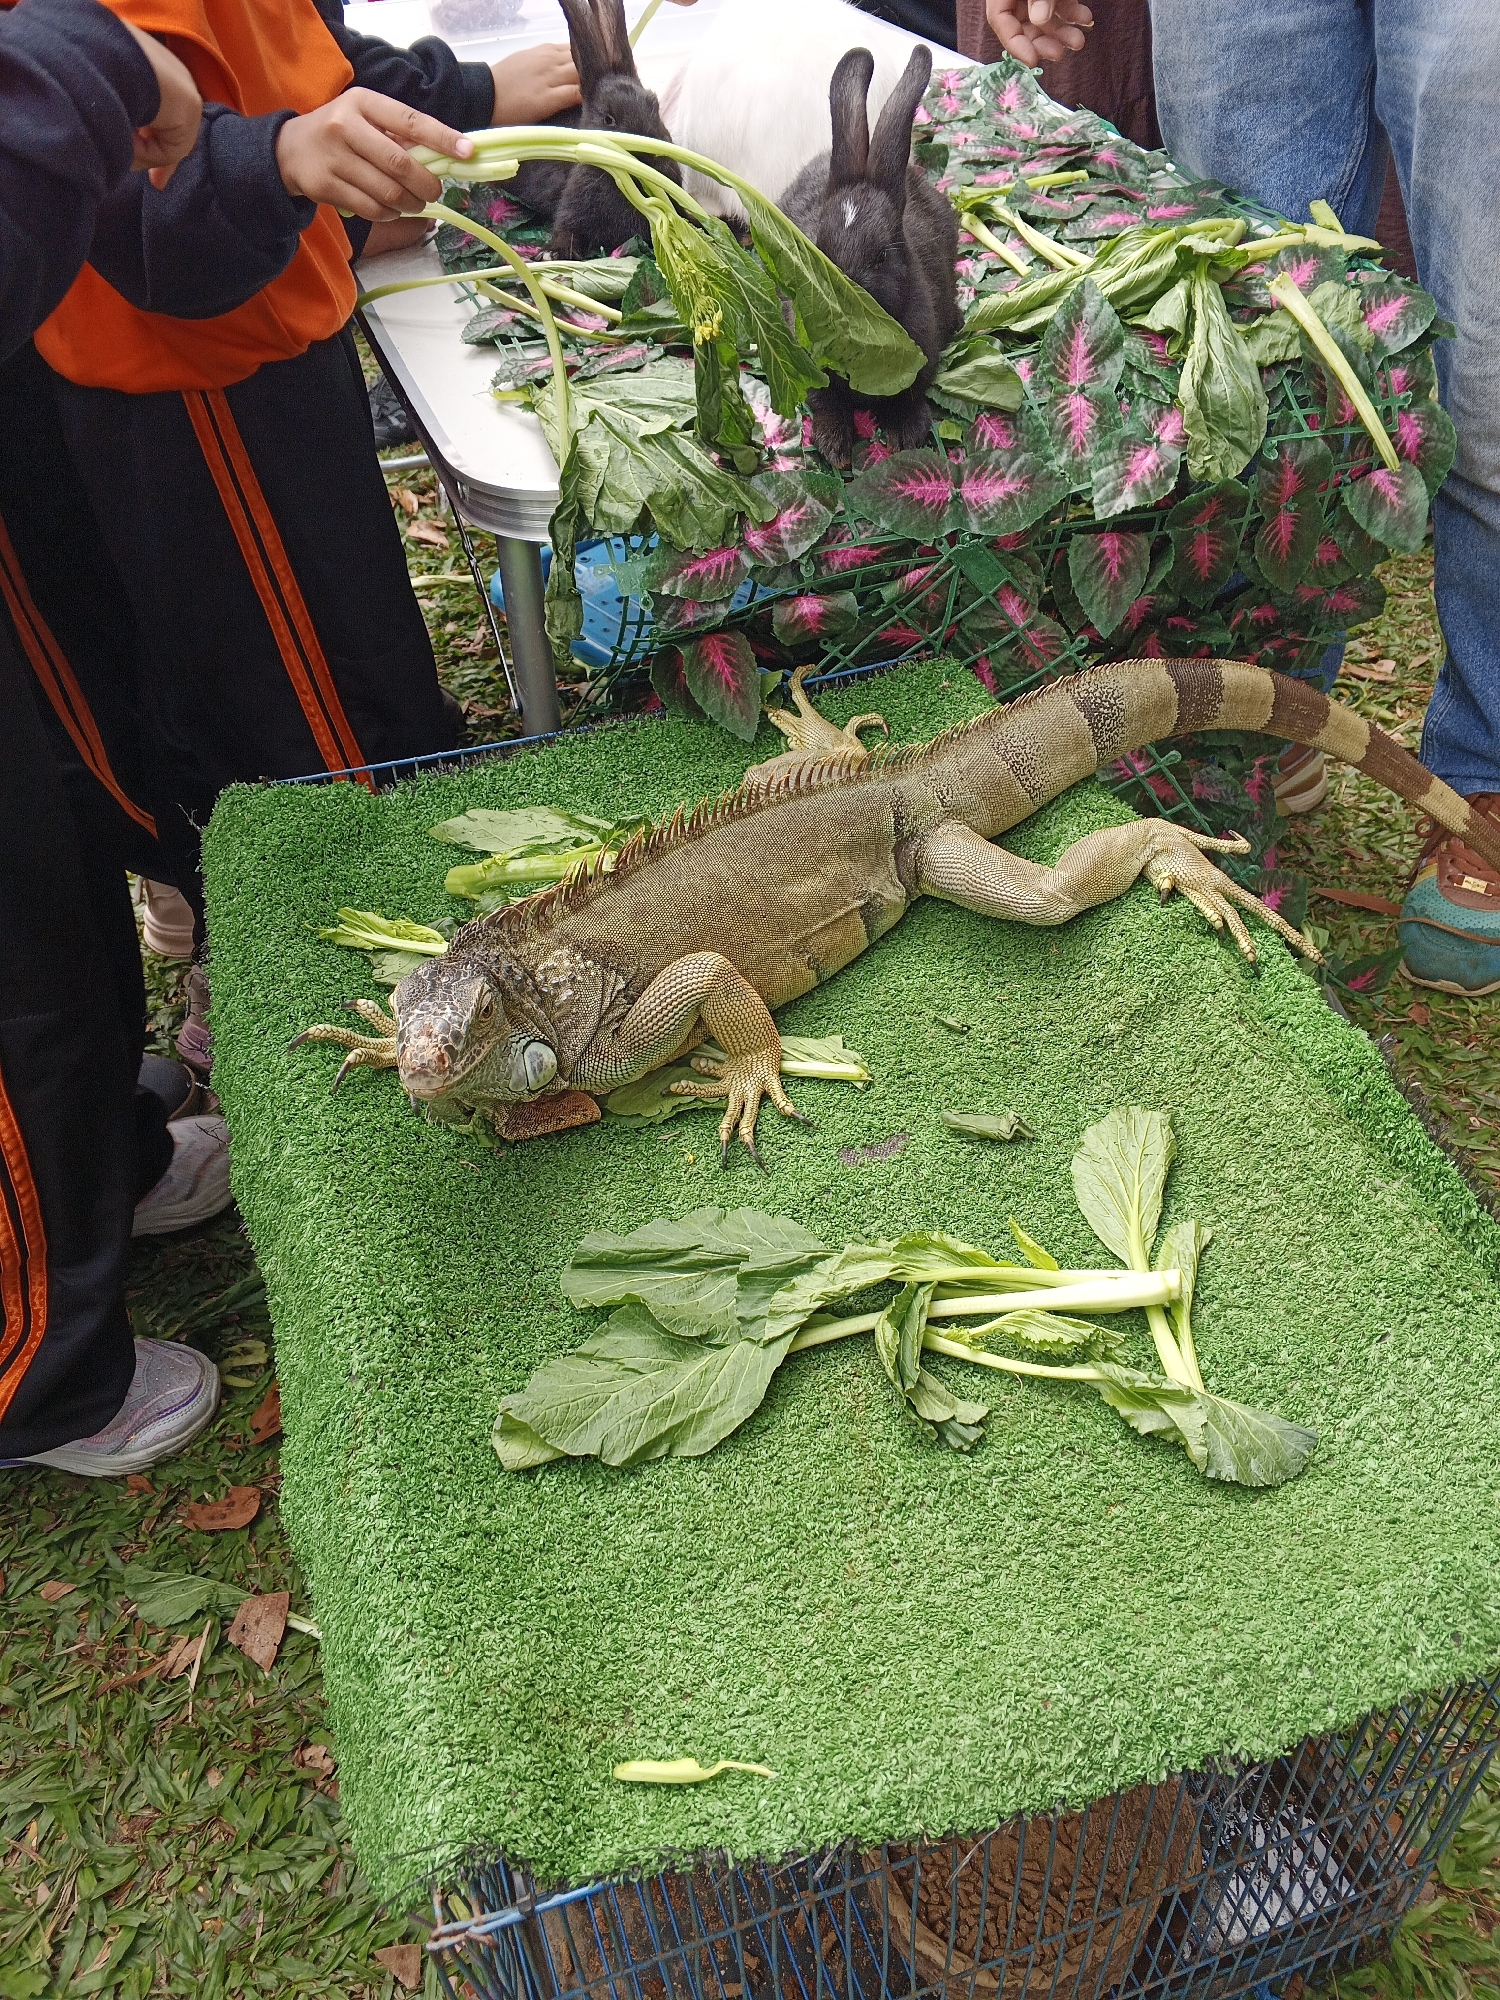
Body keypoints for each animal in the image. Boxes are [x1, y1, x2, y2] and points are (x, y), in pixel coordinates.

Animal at [777, 43, 961, 467]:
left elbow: (909, 399)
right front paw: (835, 449)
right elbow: (825, 402)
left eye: (880, 257)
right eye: (818, 246)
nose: (836, 308)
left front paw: (903, 437)